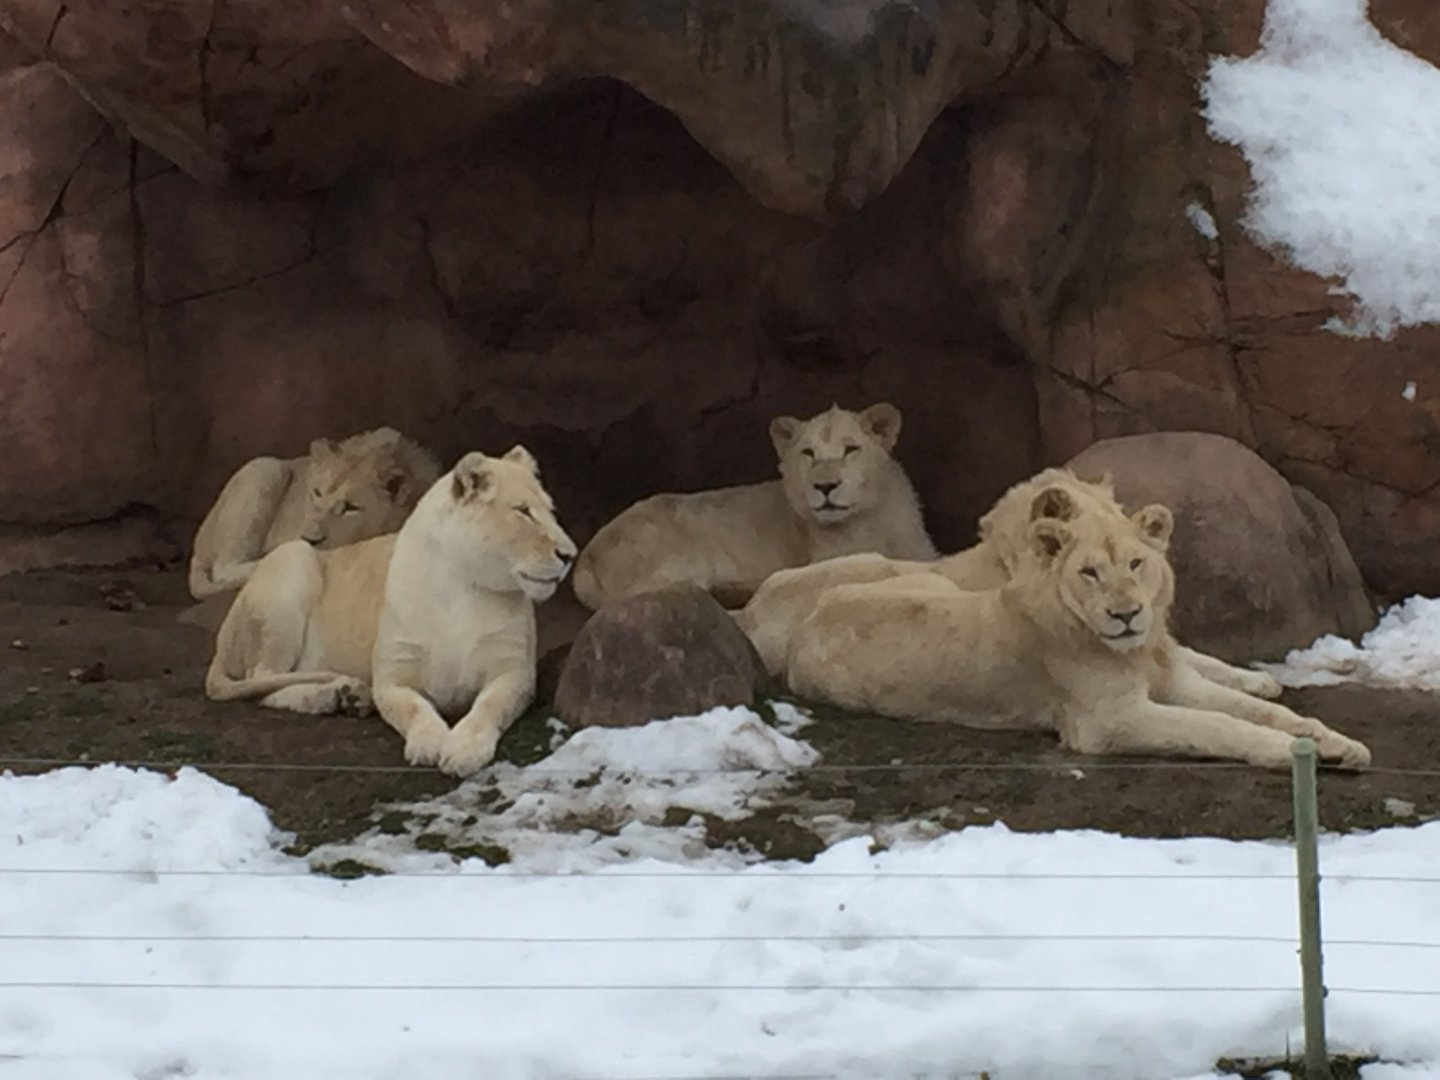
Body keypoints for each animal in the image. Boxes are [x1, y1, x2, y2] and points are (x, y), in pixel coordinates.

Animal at [205, 446, 577, 777]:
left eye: (551, 511)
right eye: (523, 511)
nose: (569, 554)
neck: (461, 587)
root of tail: (222, 639)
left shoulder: (515, 673)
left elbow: (487, 708)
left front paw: (463, 751)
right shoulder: (392, 678)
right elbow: (414, 710)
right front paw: (429, 744)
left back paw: (347, 696)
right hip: (293, 559)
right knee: (262, 679)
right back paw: (332, 695)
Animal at [571, 403, 937, 611]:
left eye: (851, 450)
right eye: (808, 454)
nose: (825, 487)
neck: (870, 519)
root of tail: (586, 557)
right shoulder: (831, 562)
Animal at [784, 502, 1371, 770]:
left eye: (1136, 563)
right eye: (1090, 572)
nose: (1127, 614)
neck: (1139, 652)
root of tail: (806, 622)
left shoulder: (1178, 683)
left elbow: (1265, 711)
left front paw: (1335, 743)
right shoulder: (1108, 720)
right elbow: (1214, 727)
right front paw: (1288, 753)